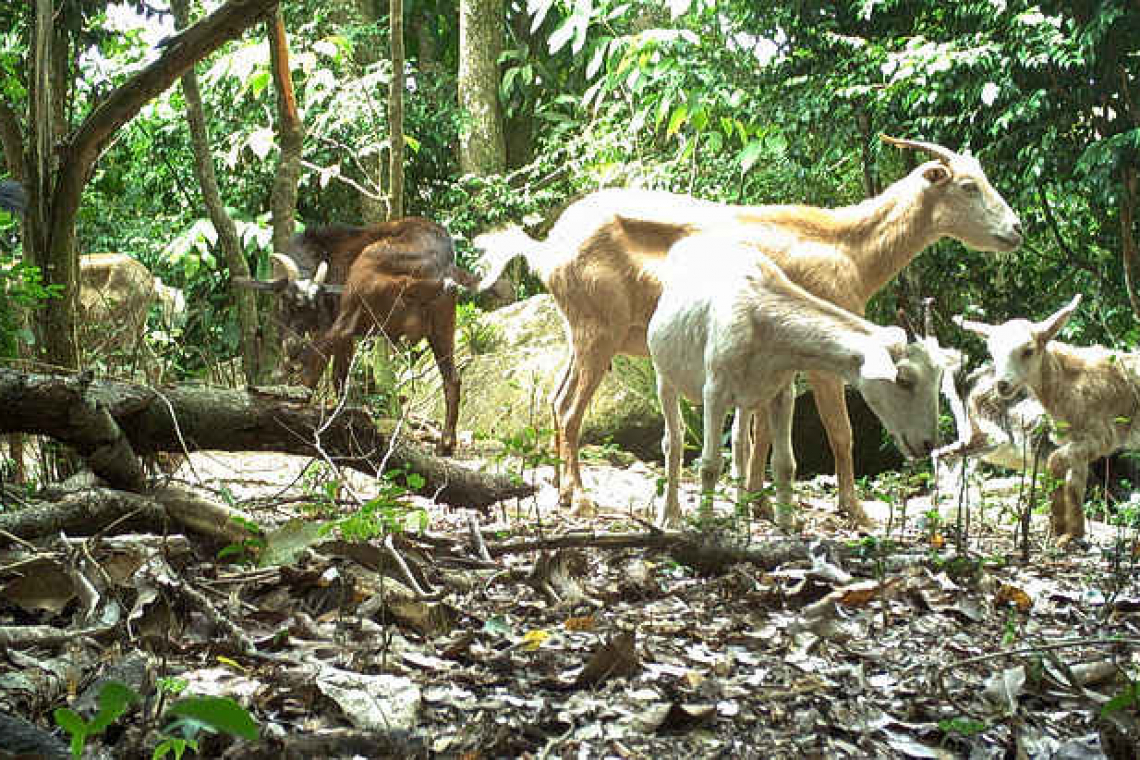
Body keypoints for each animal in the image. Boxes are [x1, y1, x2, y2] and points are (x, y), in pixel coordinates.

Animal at [652, 235, 943, 528]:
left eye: (938, 380)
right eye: (904, 380)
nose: (928, 444)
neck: (760, 319)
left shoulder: (782, 392)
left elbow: (784, 463)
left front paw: (786, 524)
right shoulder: (715, 391)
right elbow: (710, 463)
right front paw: (705, 523)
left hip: (747, 398)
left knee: (740, 442)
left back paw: (740, 512)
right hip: (664, 374)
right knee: (673, 440)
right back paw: (671, 515)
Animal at [957, 293, 1135, 540]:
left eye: (1028, 350)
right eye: (992, 352)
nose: (1002, 385)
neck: (1068, 385)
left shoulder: (1102, 436)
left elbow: (1054, 462)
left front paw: (1058, 526)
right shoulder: (1079, 442)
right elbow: (1075, 484)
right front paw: (1073, 534)